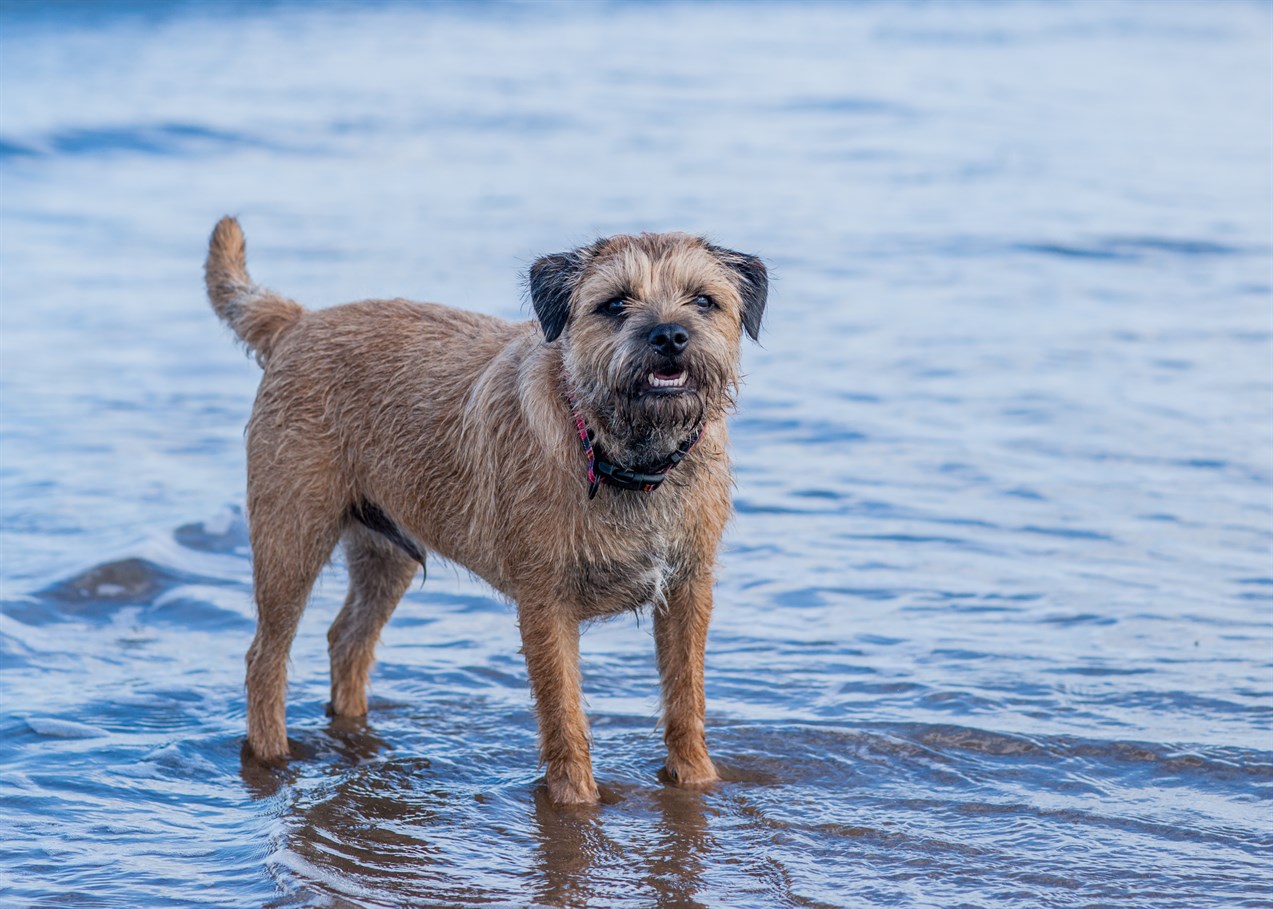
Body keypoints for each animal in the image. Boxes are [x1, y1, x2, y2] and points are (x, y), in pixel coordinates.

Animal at [204, 217, 768, 799]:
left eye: (703, 301)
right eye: (615, 304)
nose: (670, 335)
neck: (623, 458)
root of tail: (298, 321)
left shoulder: (687, 591)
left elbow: (686, 698)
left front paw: (697, 780)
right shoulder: (546, 605)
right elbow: (563, 714)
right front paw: (575, 801)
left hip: (386, 553)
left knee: (348, 640)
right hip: (291, 540)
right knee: (265, 658)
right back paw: (271, 756)